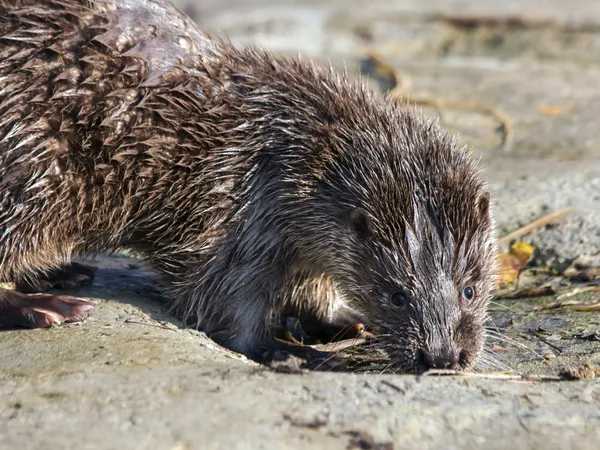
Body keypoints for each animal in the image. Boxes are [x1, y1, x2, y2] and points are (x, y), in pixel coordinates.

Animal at [0, 0, 496, 372]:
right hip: (32, 164)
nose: (443, 356)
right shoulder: (239, 208)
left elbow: (310, 287)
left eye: (469, 288)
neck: (296, 150)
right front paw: (290, 351)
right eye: (394, 294)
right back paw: (49, 305)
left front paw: (345, 319)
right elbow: (220, 302)